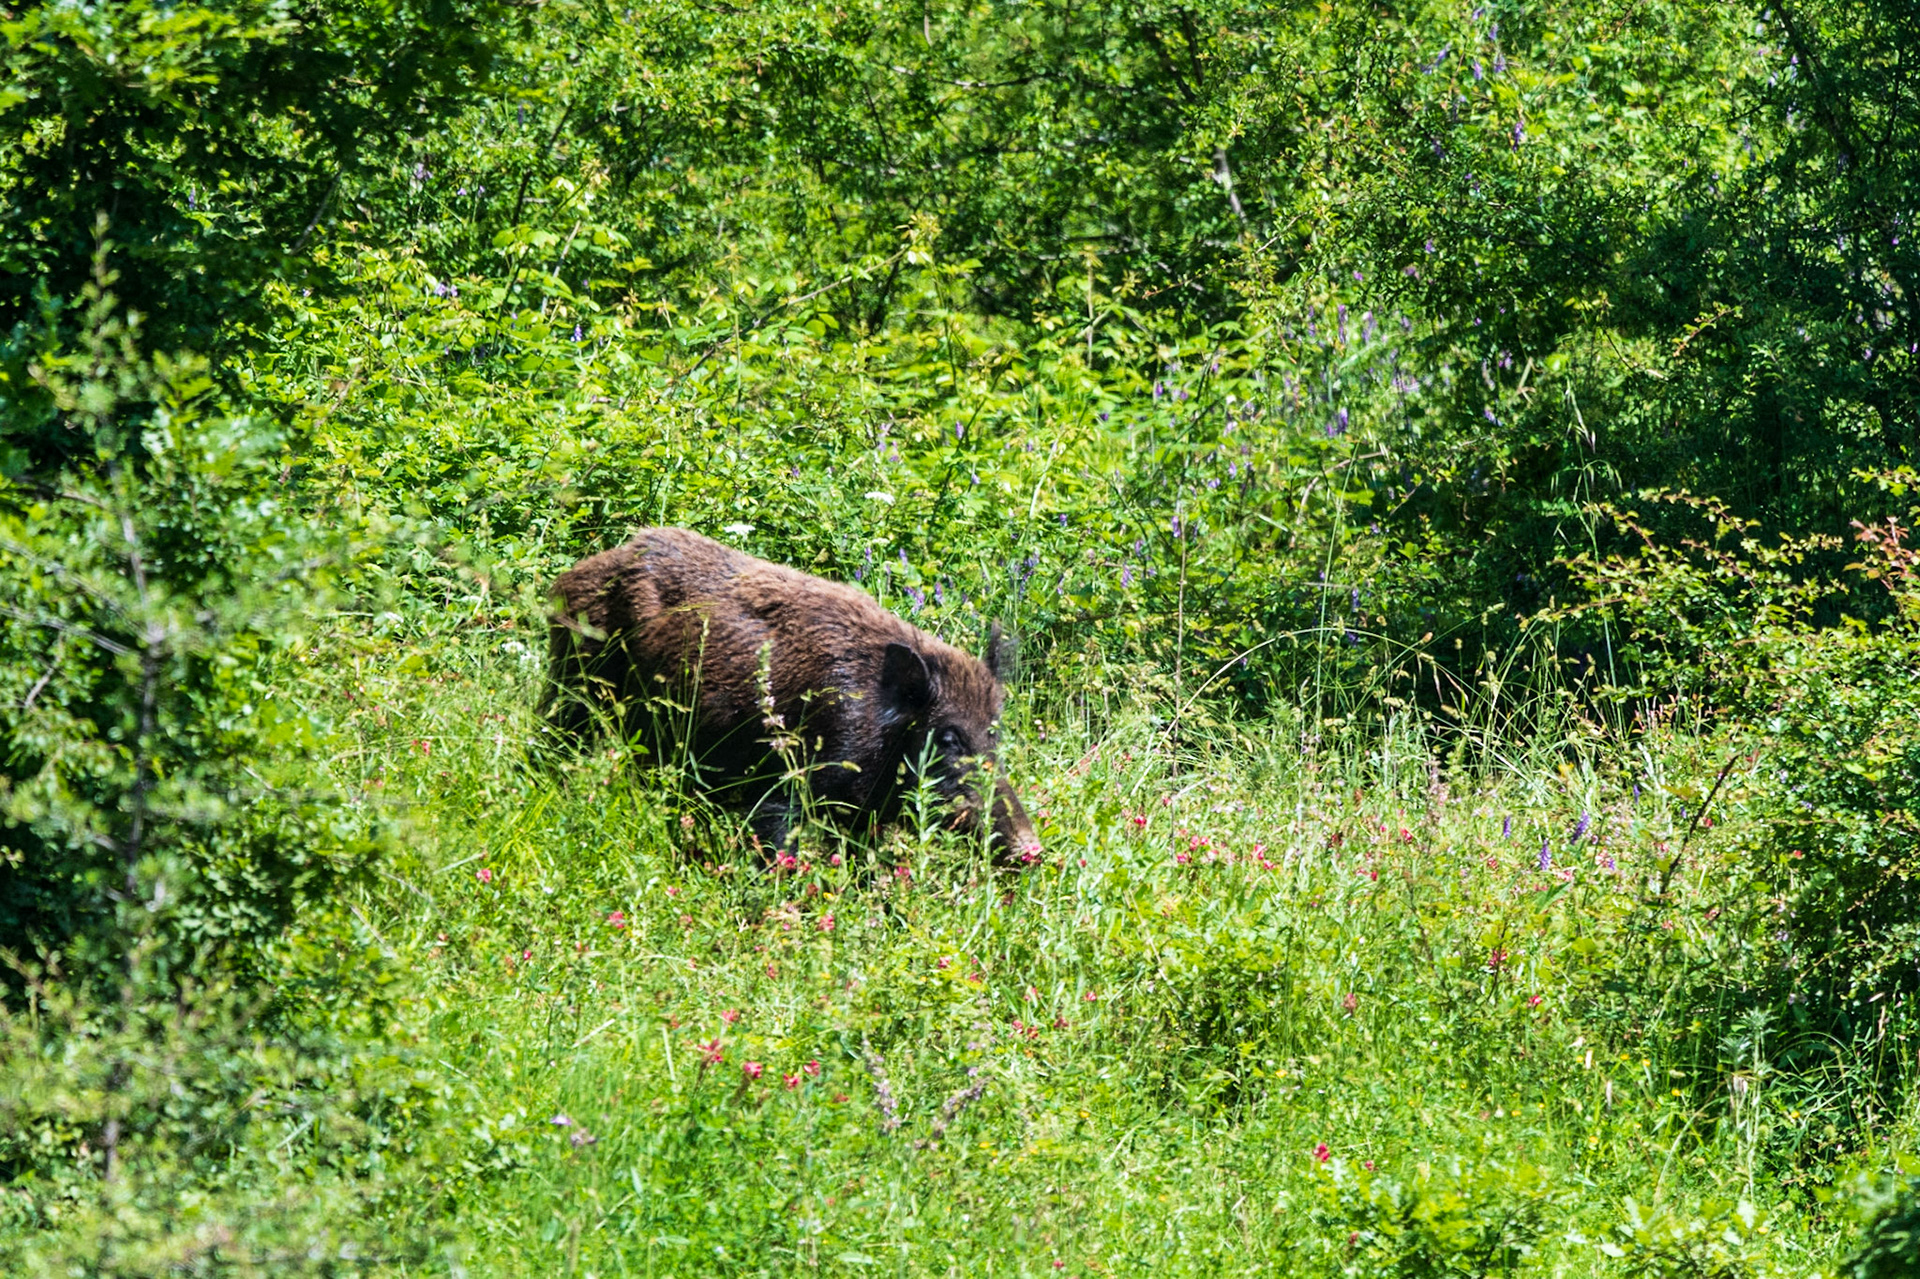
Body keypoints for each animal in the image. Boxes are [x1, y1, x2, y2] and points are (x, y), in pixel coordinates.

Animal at [538, 528, 1041, 861]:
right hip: (575, 686)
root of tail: (567, 581)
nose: (1031, 847)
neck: (877, 727)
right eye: (949, 737)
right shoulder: (785, 781)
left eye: (994, 731)